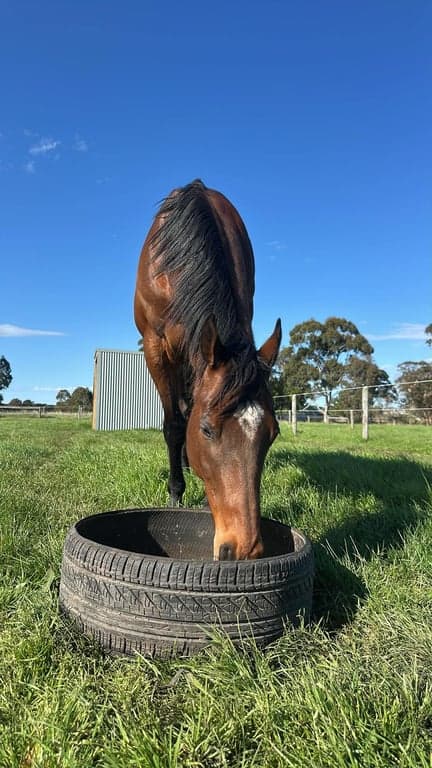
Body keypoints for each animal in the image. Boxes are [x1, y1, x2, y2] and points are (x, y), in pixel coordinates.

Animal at [134, 180, 281, 561]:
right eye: (207, 431)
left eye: (273, 434)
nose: (244, 550)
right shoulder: (156, 348)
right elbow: (174, 425)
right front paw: (176, 493)